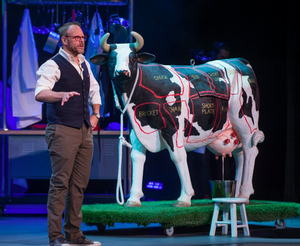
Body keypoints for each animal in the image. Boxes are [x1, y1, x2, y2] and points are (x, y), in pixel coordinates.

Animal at [90, 31, 264, 208]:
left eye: (132, 58)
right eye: (112, 58)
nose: (122, 72)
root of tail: (238, 60)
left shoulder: (172, 127)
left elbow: (178, 157)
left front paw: (185, 197)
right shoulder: (137, 129)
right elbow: (137, 157)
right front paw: (133, 198)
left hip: (245, 122)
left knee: (250, 151)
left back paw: (245, 193)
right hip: (235, 129)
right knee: (240, 154)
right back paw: (237, 195)